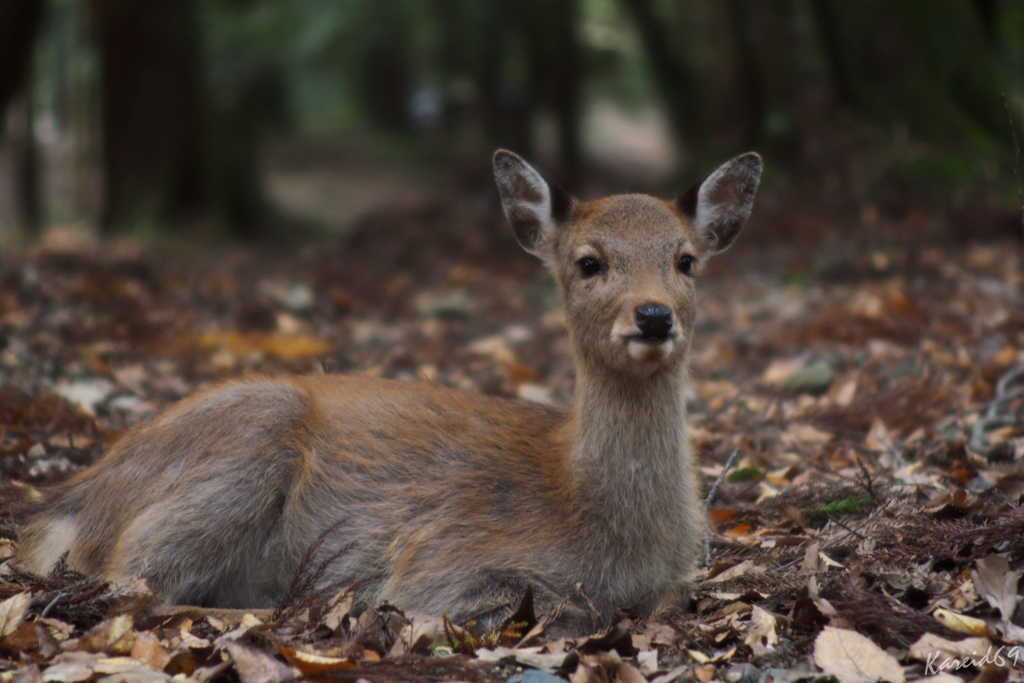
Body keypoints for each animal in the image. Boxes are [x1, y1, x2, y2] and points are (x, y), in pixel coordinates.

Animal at [19, 149, 765, 634]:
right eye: (589, 262)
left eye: (686, 260)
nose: (653, 315)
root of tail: (69, 504)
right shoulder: (442, 560)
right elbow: (538, 604)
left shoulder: (676, 580)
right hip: (241, 447)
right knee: (132, 579)